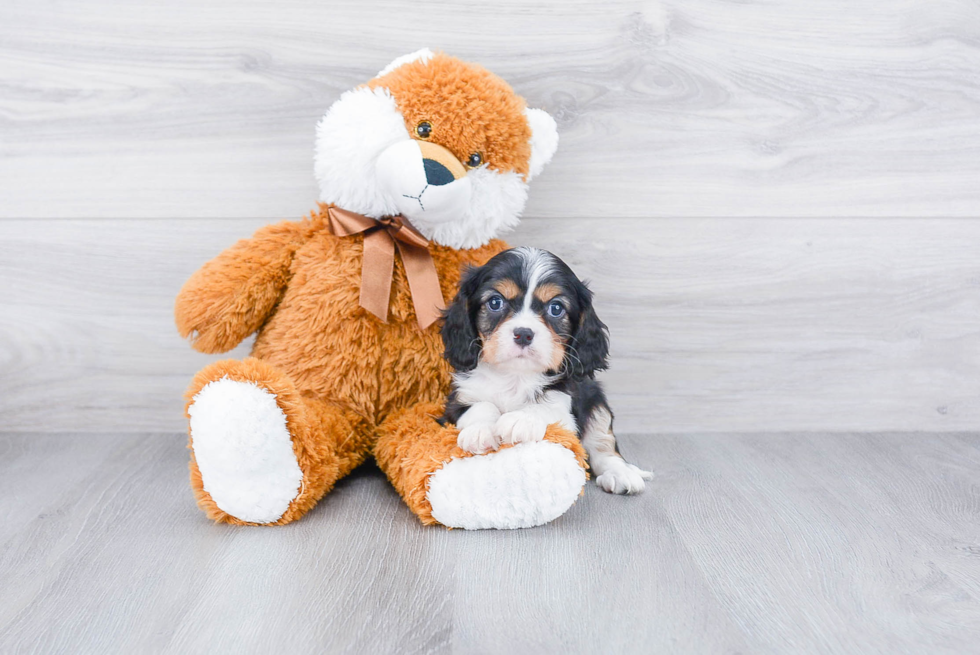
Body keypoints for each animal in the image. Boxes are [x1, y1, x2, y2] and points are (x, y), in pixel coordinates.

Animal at [442, 246, 656, 492]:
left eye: (556, 308)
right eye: (495, 302)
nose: (523, 333)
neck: (515, 375)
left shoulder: (568, 405)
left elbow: (547, 406)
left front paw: (520, 419)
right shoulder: (457, 401)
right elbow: (480, 406)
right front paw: (479, 431)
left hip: (596, 400)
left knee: (604, 446)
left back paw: (620, 474)